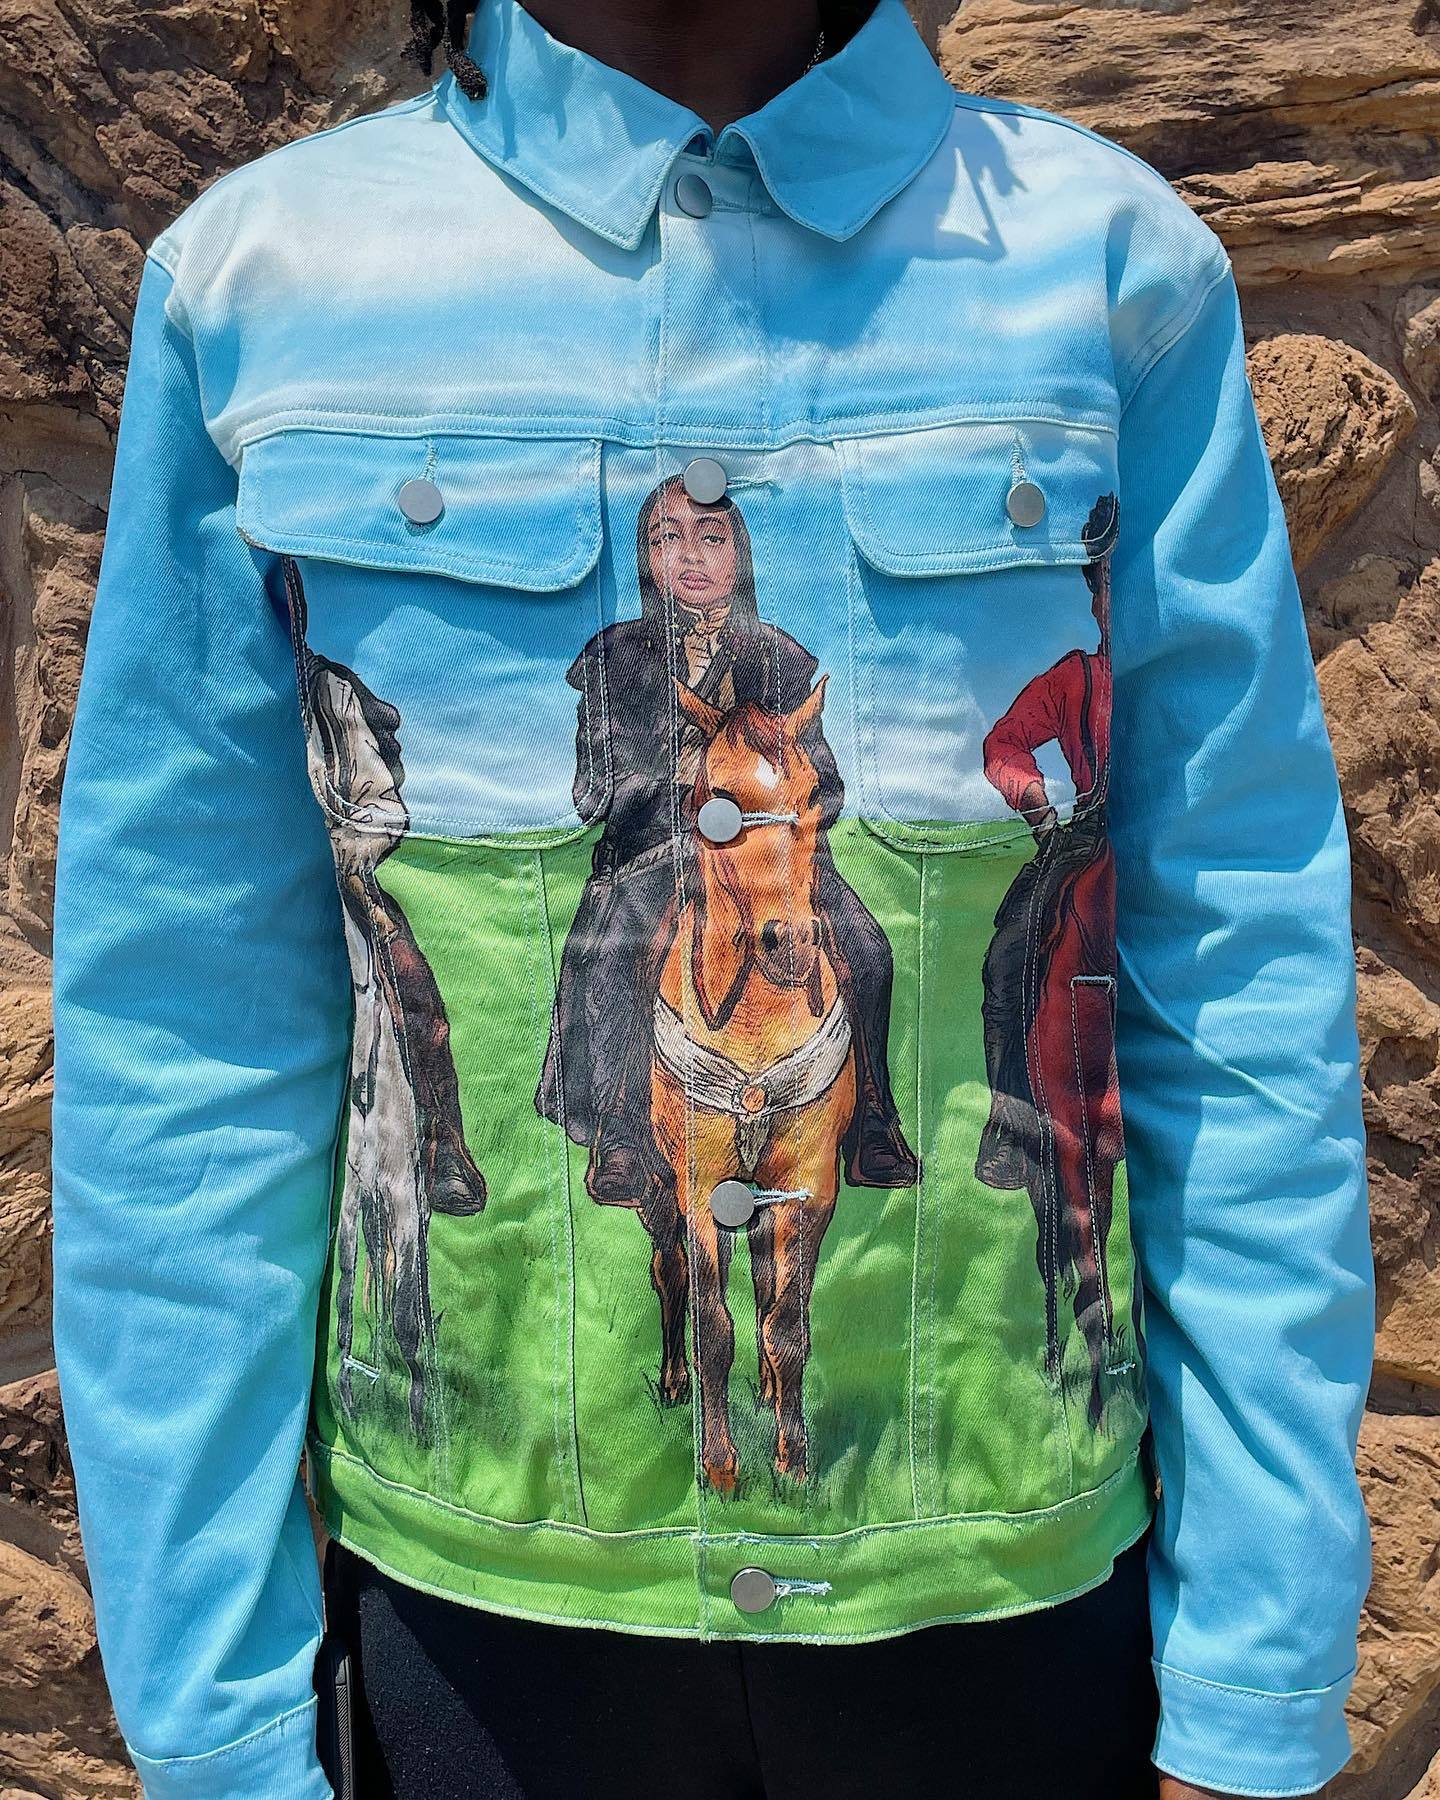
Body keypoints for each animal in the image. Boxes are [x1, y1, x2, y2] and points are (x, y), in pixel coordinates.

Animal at [648, 675, 857, 1494]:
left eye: (815, 800)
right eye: (721, 805)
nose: (790, 943)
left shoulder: (809, 1184)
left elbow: (788, 1322)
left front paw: (793, 1461)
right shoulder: (700, 1189)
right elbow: (713, 1324)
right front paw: (720, 1467)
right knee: (670, 1275)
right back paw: (674, 1382)